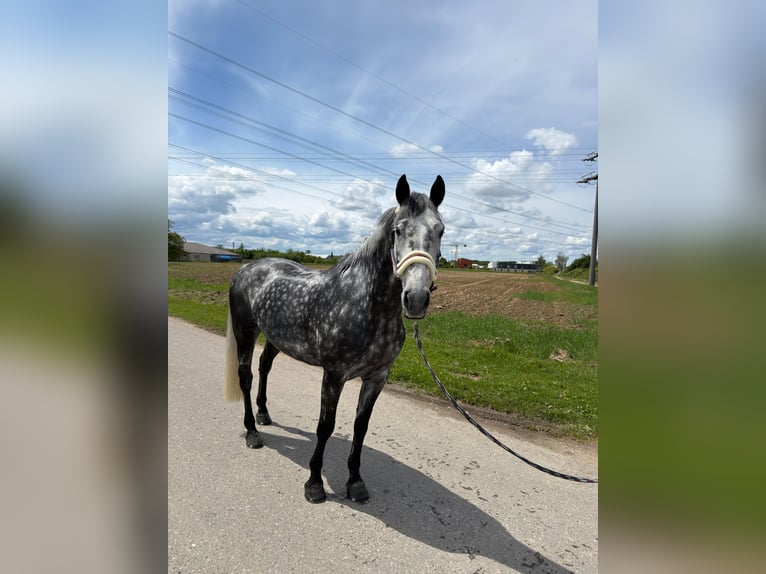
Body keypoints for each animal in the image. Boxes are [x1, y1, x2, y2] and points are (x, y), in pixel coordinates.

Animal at [224, 174, 445, 503]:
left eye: (440, 229)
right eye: (398, 229)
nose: (416, 298)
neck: (365, 304)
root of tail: (246, 267)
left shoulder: (377, 377)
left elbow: (360, 427)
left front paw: (355, 481)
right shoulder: (334, 375)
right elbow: (325, 427)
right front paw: (314, 483)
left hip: (276, 338)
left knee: (264, 367)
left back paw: (264, 414)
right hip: (245, 332)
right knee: (246, 376)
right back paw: (252, 432)